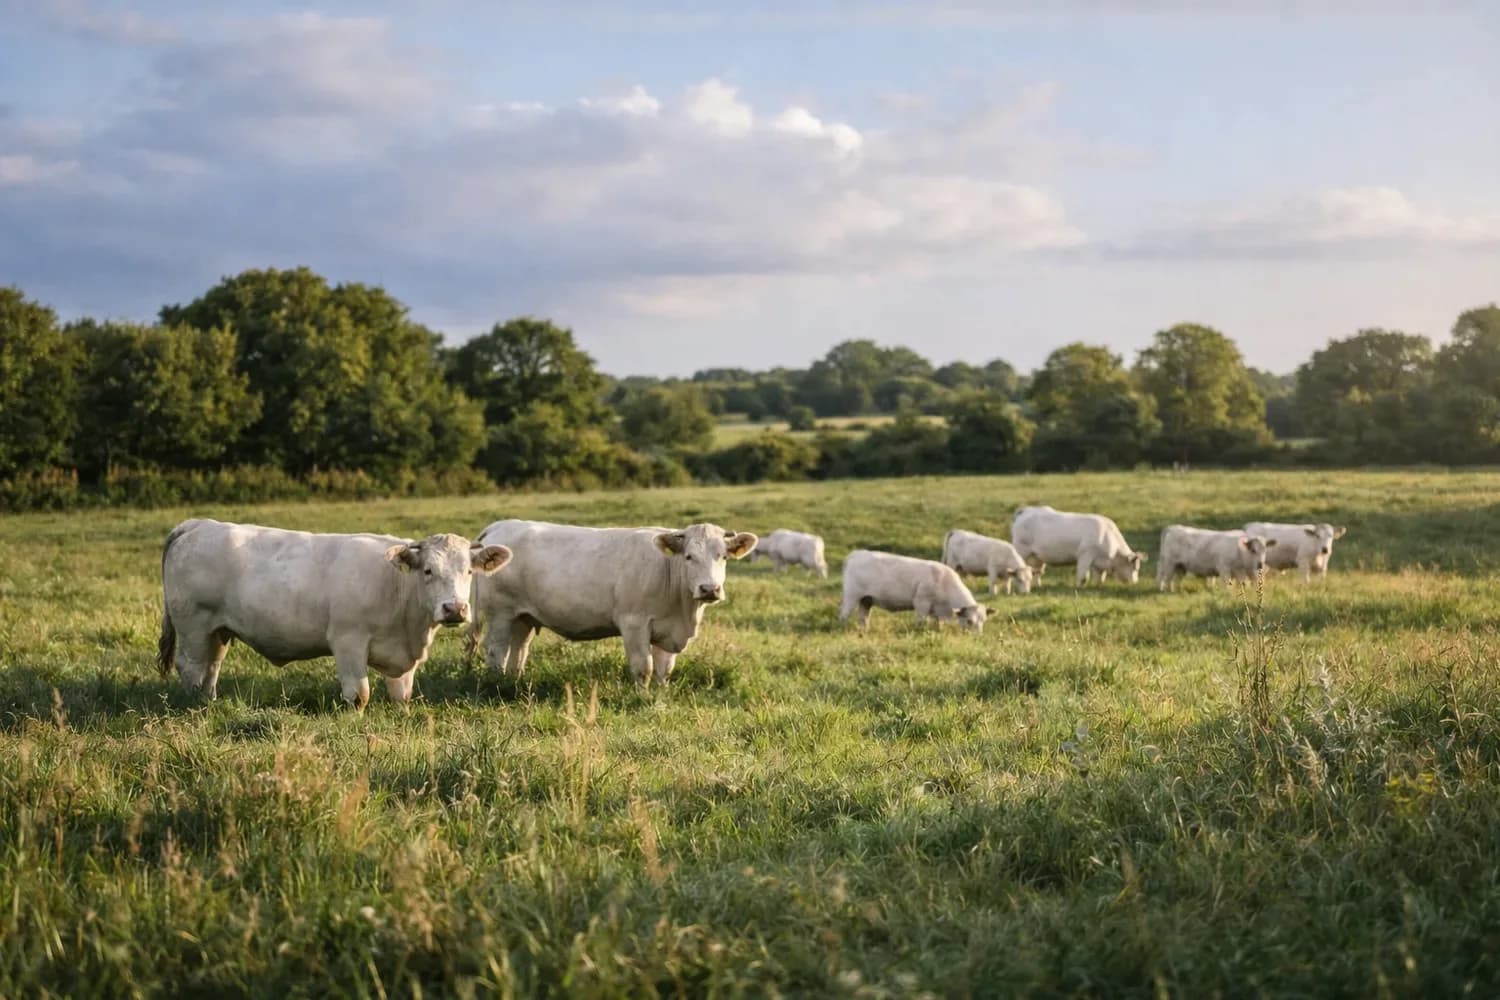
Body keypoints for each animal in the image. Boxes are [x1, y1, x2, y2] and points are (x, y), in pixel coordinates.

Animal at [156, 519, 512, 708]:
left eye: (469, 571)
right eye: (427, 570)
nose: (454, 608)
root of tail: (199, 525)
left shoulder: (401, 655)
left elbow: (402, 694)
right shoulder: (347, 640)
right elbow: (359, 695)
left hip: (217, 630)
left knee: (211, 666)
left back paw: (208, 702)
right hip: (193, 625)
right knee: (191, 666)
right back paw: (194, 705)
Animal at [469, 520, 757, 686]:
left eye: (723, 557)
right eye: (688, 557)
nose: (709, 589)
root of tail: (501, 525)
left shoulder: (668, 630)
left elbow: (664, 671)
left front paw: (659, 698)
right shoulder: (634, 624)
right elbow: (643, 668)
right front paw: (642, 699)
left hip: (523, 617)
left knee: (518, 651)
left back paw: (513, 684)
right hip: (500, 614)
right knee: (496, 650)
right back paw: (496, 684)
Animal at [839, 550, 992, 632]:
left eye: (984, 621)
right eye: (970, 621)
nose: (977, 638)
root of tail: (857, 554)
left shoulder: (936, 609)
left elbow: (938, 623)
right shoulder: (921, 602)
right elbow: (921, 621)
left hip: (866, 599)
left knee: (863, 617)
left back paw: (864, 631)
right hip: (851, 596)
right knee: (843, 615)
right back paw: (843, 629)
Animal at [1011, 505, 1148, 586]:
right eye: (1135, 568)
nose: (1135, 583)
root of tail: (1027, 510)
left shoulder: (1098, 562)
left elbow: (1100, 577)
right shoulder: (1085, 555)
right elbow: (1083, 577)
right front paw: (1079, 588)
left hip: (1037, 557)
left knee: (1036, 572)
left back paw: (1037, 585)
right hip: (1021, 550)